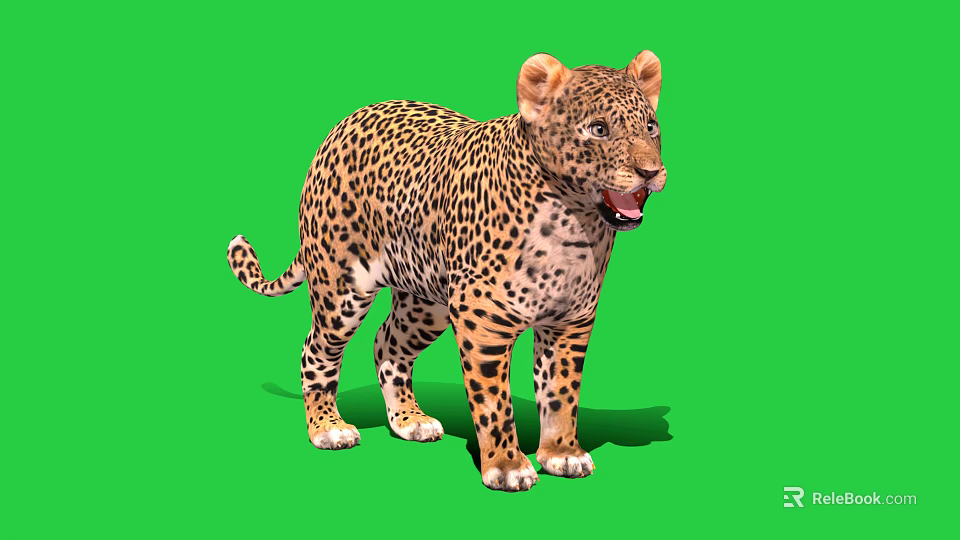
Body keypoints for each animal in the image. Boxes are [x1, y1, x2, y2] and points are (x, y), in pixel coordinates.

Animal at [226, 51, 667, 491]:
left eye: (651, 126)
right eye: (599, 129)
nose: (651, 172)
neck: (573, 223)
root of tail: (343, 124)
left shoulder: (570, 322)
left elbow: (561, 392)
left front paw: (562, 454)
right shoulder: (483, 321)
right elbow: (494, 402)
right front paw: (507, 466)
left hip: (425, 302)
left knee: (386, 344)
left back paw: (410, 421)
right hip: (340, 291)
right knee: (315, 351)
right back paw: (328, 428)